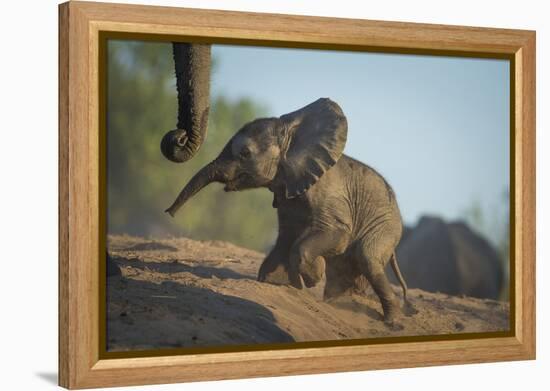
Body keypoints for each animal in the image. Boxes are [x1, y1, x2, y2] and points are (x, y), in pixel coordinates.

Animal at [166, 99, 412, 324]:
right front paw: (278, 282)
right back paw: (340, 303)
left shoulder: (328, 194)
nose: (169, 212)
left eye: (245, 153)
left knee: (367, 257)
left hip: (386, 227)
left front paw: (313, 278)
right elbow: (287, 235)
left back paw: (392, 321)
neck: (292, 135)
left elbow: (334, 235)